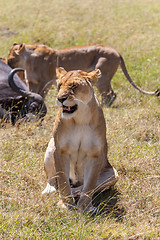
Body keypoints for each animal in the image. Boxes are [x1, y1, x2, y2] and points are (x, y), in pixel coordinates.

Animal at [7, 43, 159, 107]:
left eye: (11, 58)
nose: (7, 63)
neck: (28, 60)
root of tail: (116, 51)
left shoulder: (45, 81)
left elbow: (40, 93)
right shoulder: (33, 82)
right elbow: (34, 93)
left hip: (102, 75)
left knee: (108, 94)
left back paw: (103, 106)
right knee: (112, 94)